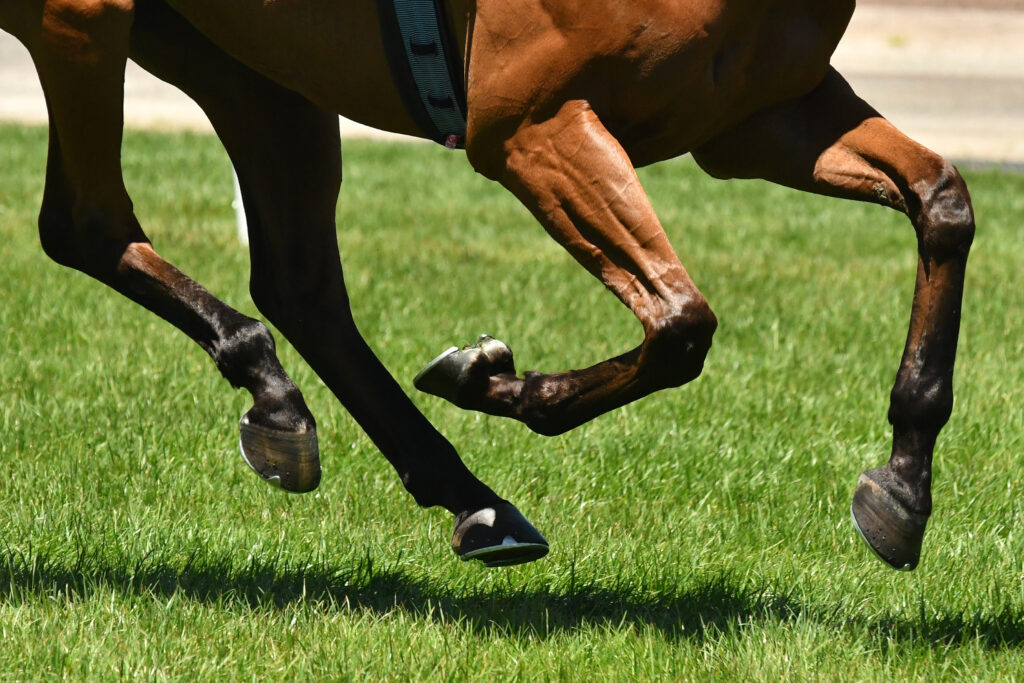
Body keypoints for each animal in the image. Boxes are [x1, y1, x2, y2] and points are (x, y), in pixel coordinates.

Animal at [0, 0, 974, 570]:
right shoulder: (527, 123)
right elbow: (680, 322)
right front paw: (493, 379)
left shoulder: (754, 116)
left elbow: (944, 203)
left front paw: (904, 485)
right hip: (89, 19)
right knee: (88, 222)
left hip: (249, 63)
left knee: (299, 281)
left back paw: (446, 484)